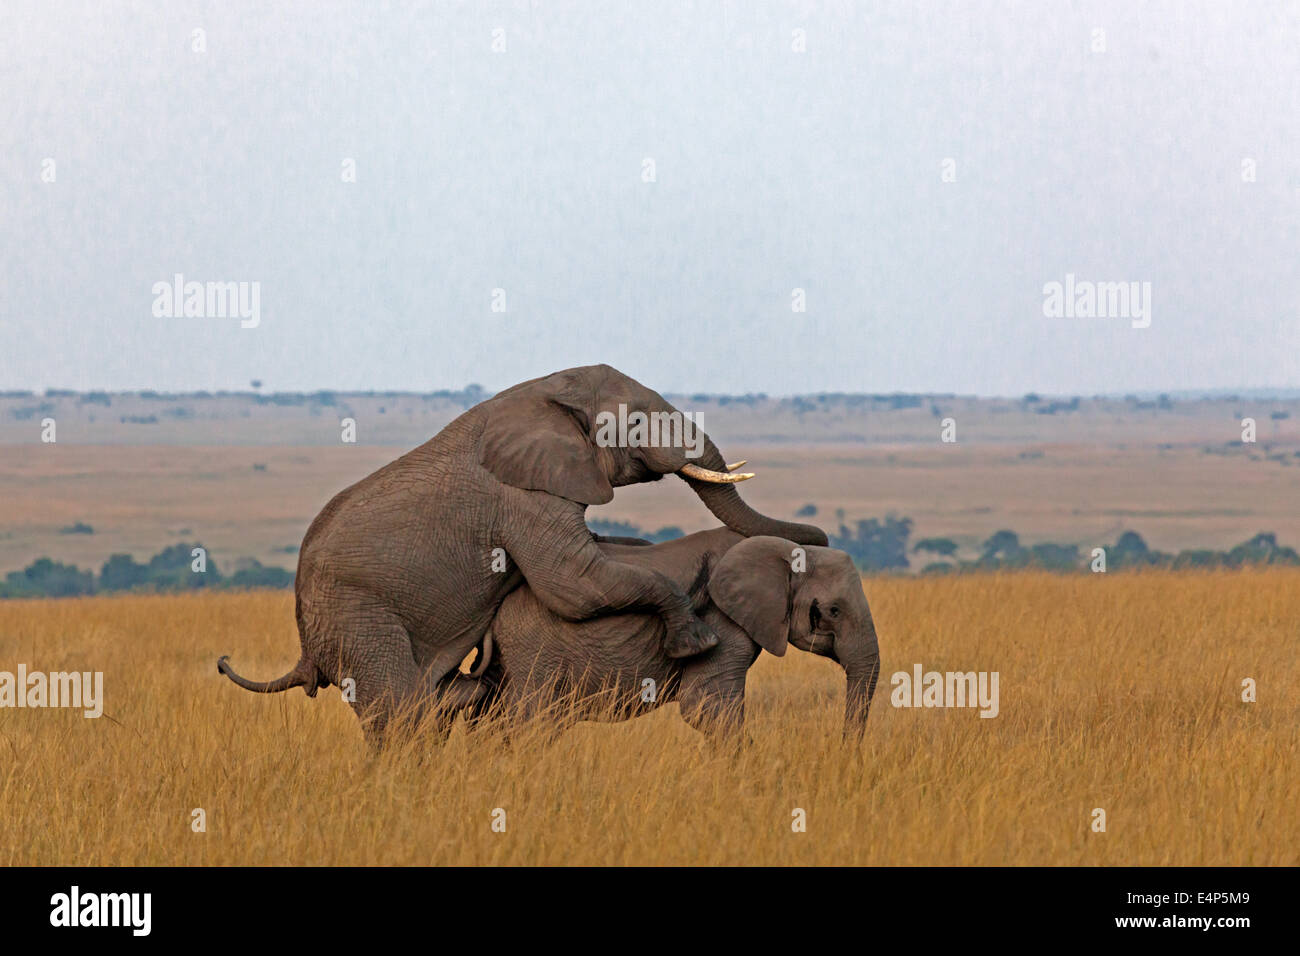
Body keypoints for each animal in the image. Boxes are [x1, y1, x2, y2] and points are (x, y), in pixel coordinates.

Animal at [213, 361, 821, 743]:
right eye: (636, 422)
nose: (820, 538)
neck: (546, 392)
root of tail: (303, 644)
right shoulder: (522, 496)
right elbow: (573, 584)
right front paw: (696, 640)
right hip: (357, 618)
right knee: (399, 715)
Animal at [454, 530, 883, 738]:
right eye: (832, 611)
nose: (842, 750)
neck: (786, 549)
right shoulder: (721, 622)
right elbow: (706, 707)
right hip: (534, 648)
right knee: (533, 719)